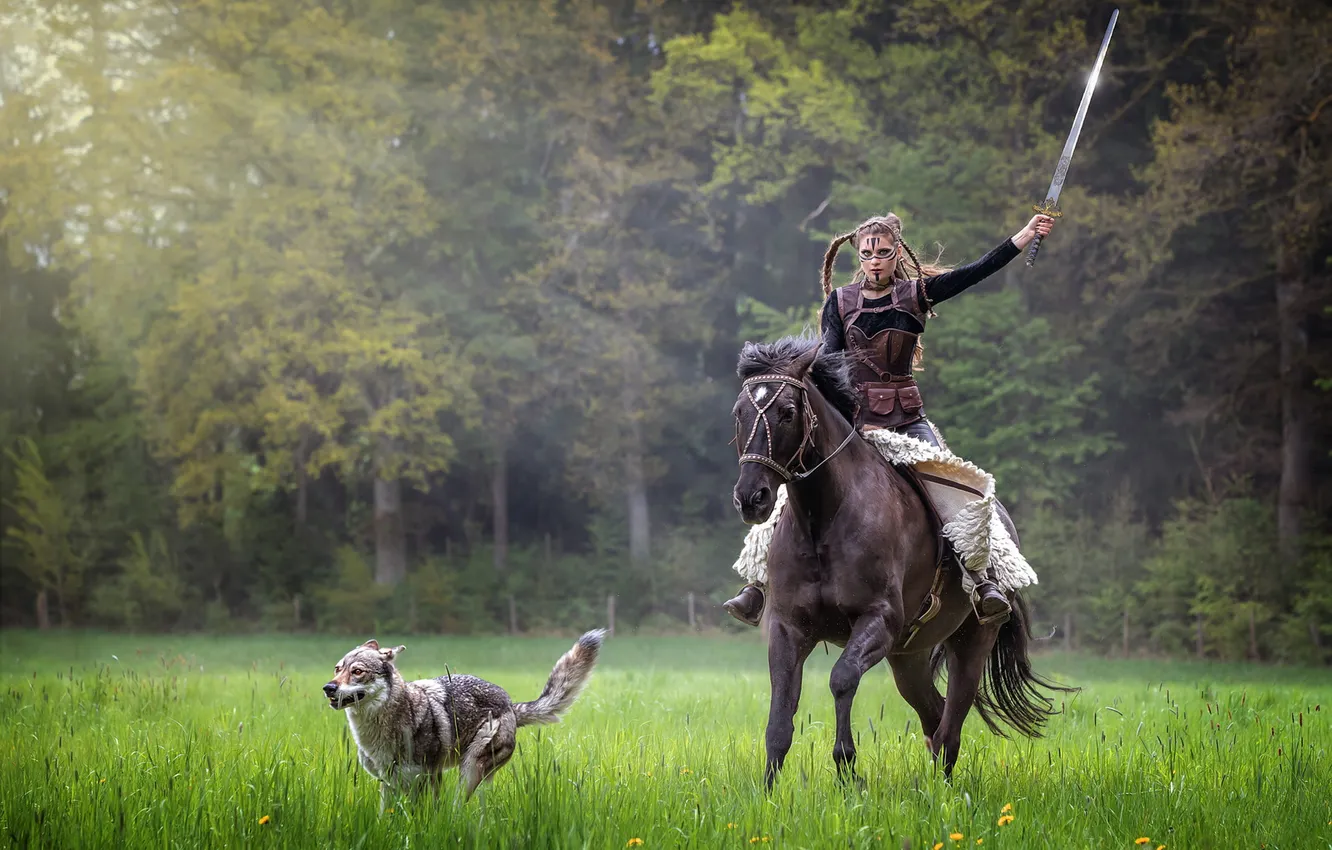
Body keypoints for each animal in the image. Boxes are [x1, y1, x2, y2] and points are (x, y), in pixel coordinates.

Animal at [323, 630, 605, 807]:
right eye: (337, 669)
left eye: (358, 671)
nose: (328, 688)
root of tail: (510, 704)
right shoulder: (388, 784)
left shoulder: (428, 778)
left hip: (468, 771)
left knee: (458, 809)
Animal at [730, 337, 1069, 787]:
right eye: (739, 412)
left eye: (787, 412)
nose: (751, 497)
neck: (824, 522)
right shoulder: (789, 628)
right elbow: (781, 715)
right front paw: (768, 790)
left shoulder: (879, 621)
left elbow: (842, 679)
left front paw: (846, 768)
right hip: (908, 658)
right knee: (935, 714)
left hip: (970, 644)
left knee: (950, 725)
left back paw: (942, 791)